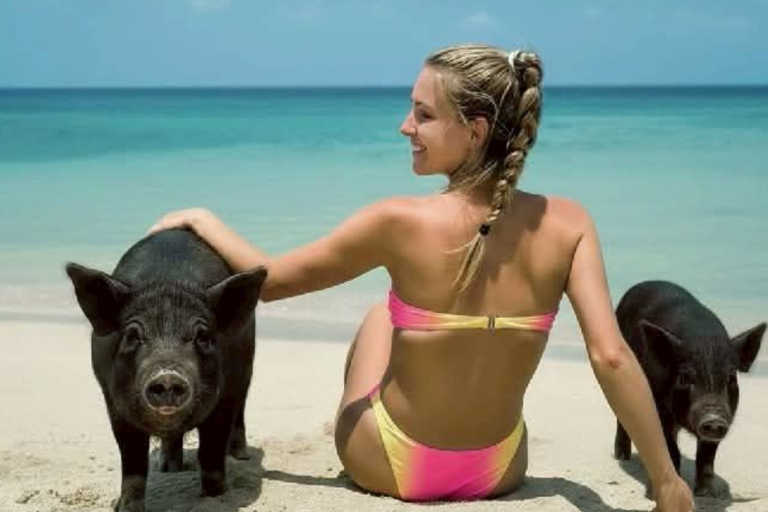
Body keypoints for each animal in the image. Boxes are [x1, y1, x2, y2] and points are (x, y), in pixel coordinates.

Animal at [65, 228, 266, 512]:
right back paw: (168, 467)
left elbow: (212, 451)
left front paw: (216, 497)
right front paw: (125, 507)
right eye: (132, 336)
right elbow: (133, 460)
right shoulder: (113, 403)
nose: (168, 375)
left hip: (246, 369)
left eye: (202, 337)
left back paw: (240, 456)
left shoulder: (224, 398)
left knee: (241, 410)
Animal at [613, 280, 765, 497]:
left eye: (731, 379)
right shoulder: (657, 406)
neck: (704, 342)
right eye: (684, 378)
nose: (713, 418)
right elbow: (671, 449)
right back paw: (621, 457)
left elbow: (706, 456)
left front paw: (706, 493)